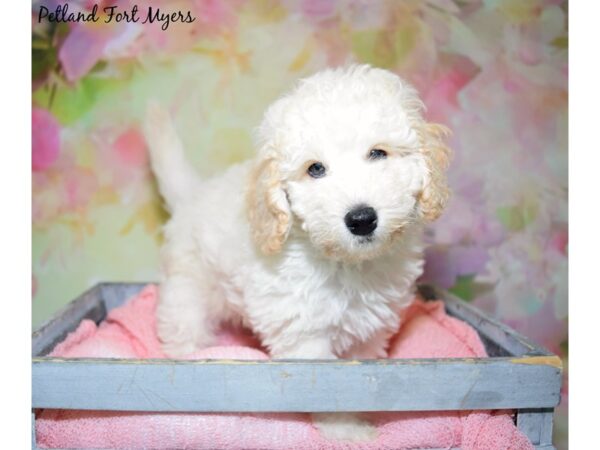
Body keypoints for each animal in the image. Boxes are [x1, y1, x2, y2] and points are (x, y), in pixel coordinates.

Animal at [144, 65, 450, 442]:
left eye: (378, 153)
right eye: (315, 168)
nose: (361, 219)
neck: (346, 265)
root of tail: (192, 194)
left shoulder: (370, 331)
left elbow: (360, 380)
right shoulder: (303, 333)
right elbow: (328, 390)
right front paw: (346, 430)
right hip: (188, 287)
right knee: (182, 327)